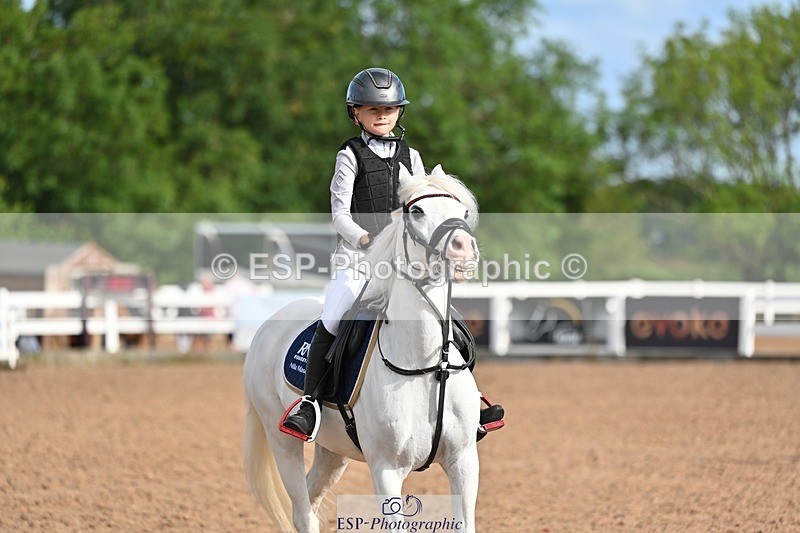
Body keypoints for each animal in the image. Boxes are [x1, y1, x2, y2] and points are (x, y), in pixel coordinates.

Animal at [243, 165, 483, 532]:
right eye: (417, 211)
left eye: (463, 212)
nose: (463, 249)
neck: (427, 367)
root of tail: (268, 325)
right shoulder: (386, 469)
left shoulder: (464, 460)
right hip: (281, 439)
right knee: (302, 510)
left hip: (333, 449)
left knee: (310, 500)